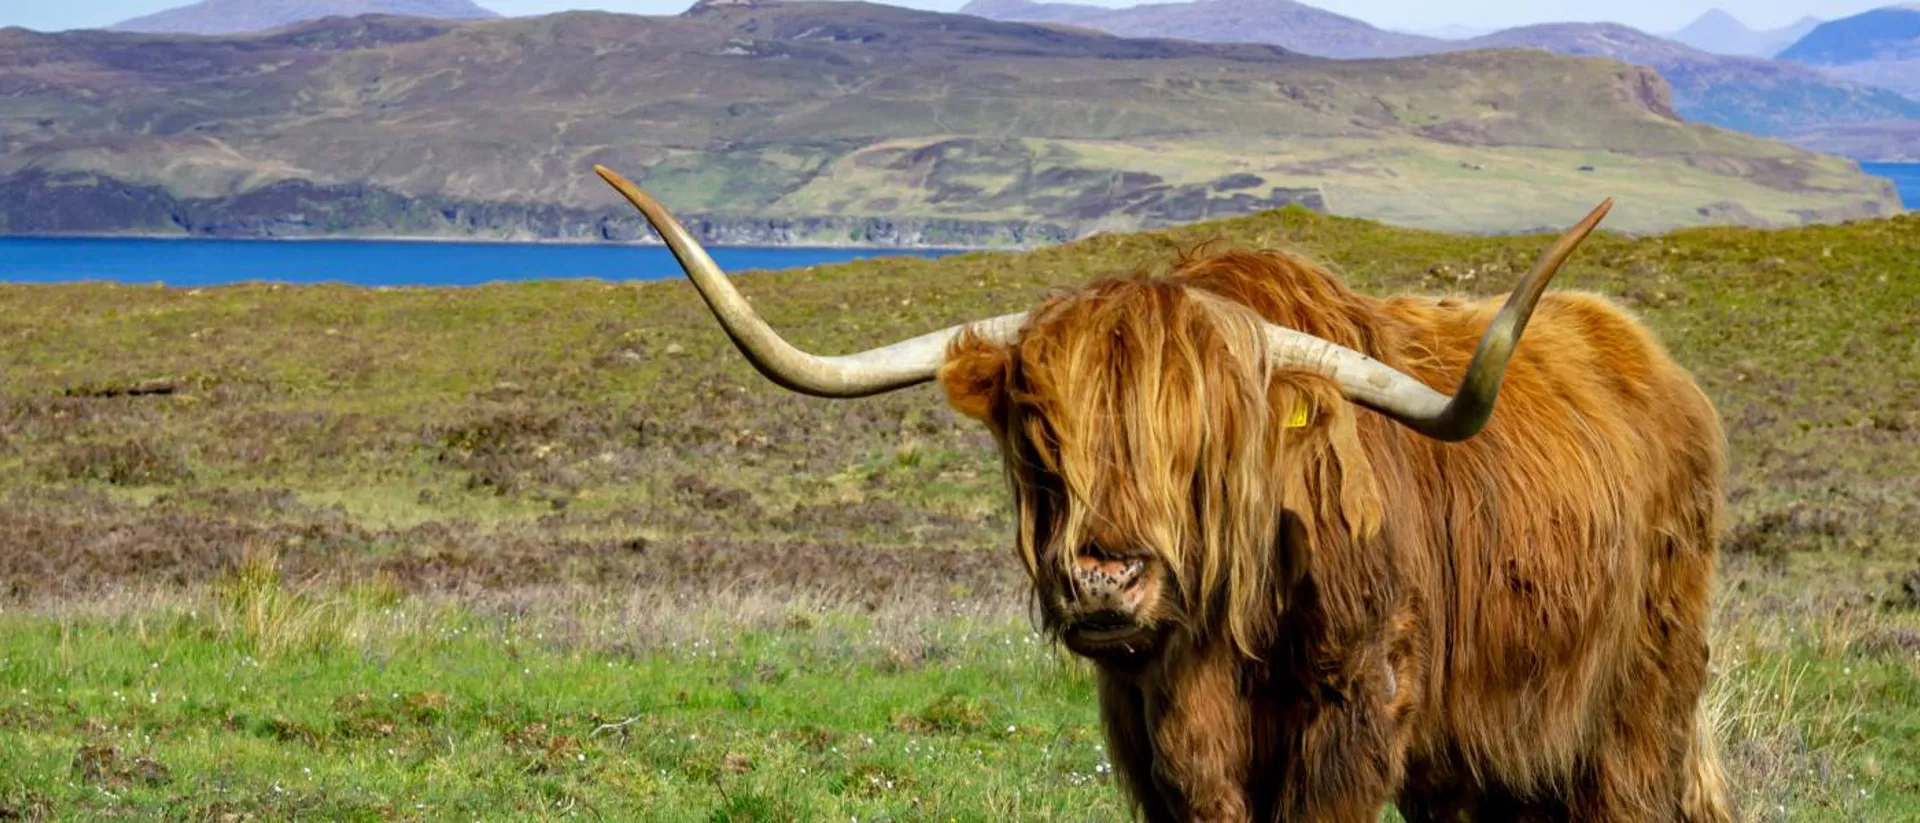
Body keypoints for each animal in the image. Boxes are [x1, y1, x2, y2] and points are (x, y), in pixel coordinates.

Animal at [593, 164, 1733, 822]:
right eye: (1039, 432)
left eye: (1202, 444)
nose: (1106, 578)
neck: (1229, 640)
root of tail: (1655, 364)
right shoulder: (1155, 736)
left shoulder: (1358, 710)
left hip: (1639, 704)